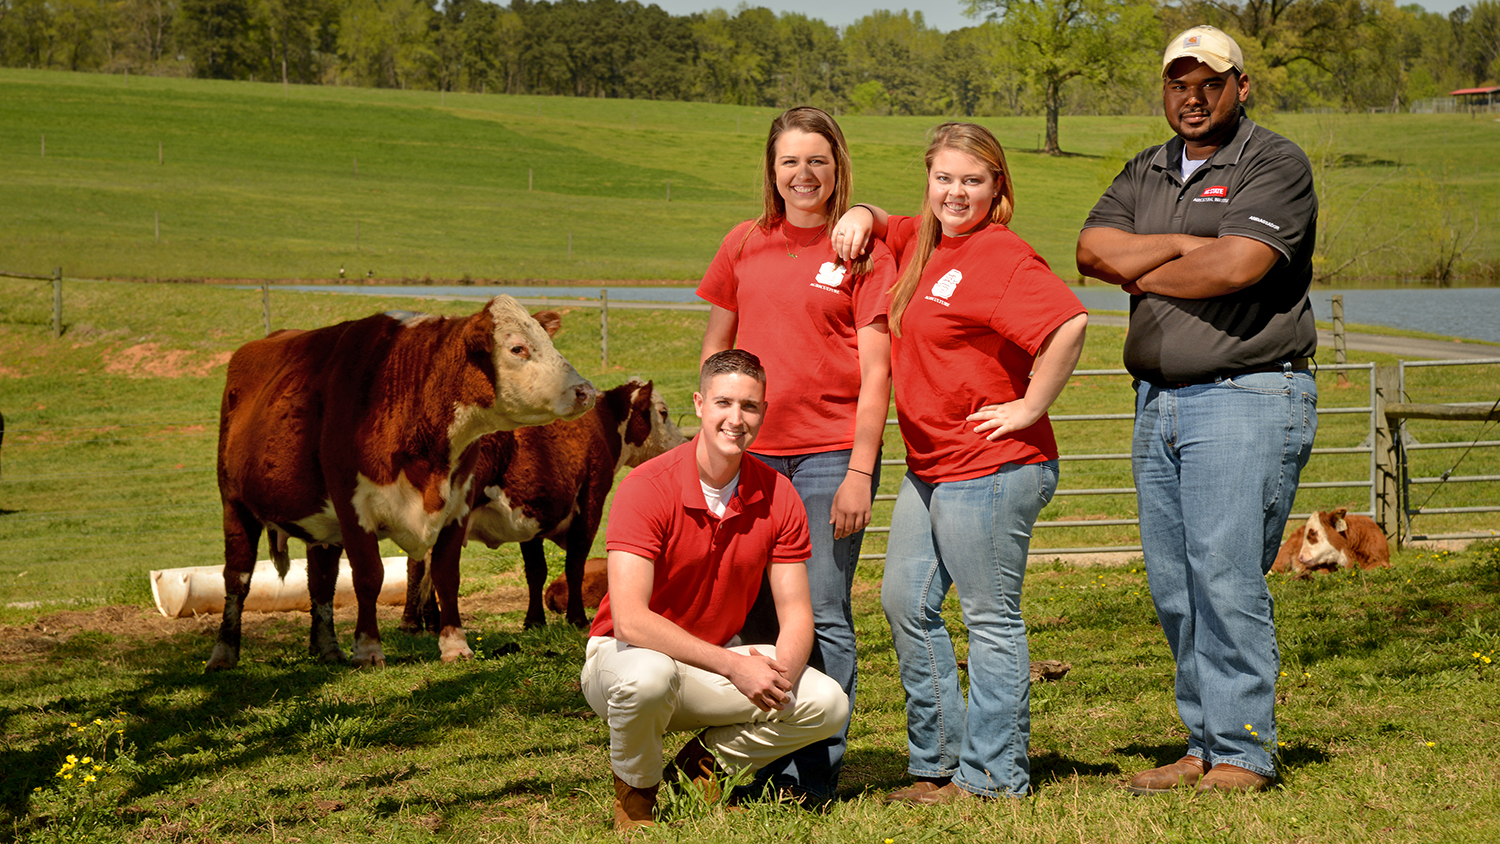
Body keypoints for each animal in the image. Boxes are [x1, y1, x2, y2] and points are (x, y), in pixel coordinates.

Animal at [213, 299, 597, 671]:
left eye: (548, 340)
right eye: (517, 348)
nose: (586, 390)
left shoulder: (458, 503)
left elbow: (446, 575)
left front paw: (455, 646)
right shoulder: (353, 507)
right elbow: (369, 576)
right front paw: (368, 650)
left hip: (321, 526)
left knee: (321, 580)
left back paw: (328, 650)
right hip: (234, 504)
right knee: (237, 577)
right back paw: (223, 654)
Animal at [402, 377, 687, 635]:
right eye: (663, 412)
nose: (683, 443)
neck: (602, 424)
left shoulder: (530, 517)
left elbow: (536, 570)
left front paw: (534, 621)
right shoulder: (590, 503)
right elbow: (574, 566)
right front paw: (577, 618)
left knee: (418, 564)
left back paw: (418, 622)